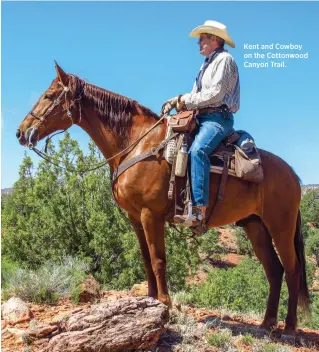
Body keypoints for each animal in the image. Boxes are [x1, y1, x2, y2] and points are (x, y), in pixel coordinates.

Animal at [17, 63, 310, 336]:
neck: (137, 144)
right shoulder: (135, 218)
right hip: (255, 226)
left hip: (280, 227)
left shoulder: (151, 214)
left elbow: (159, 260)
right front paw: (148, 301)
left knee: (292, 270)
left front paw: (165, 304)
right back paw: (267, 323)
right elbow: (146, 259)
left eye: (49, 95)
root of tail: (293, 174)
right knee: (274, 271)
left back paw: (289, 327)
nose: (21, 132)